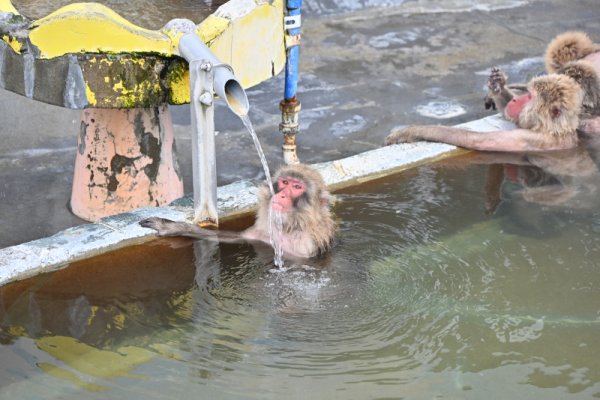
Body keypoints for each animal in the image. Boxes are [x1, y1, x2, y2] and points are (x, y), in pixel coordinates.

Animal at [141, 163, 338, 260]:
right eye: (285, 182)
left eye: (297, 187)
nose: (281, 195)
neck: (291, 225)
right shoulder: (261, 234)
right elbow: (235, 237)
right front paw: (172, 227)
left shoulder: (306, 247)